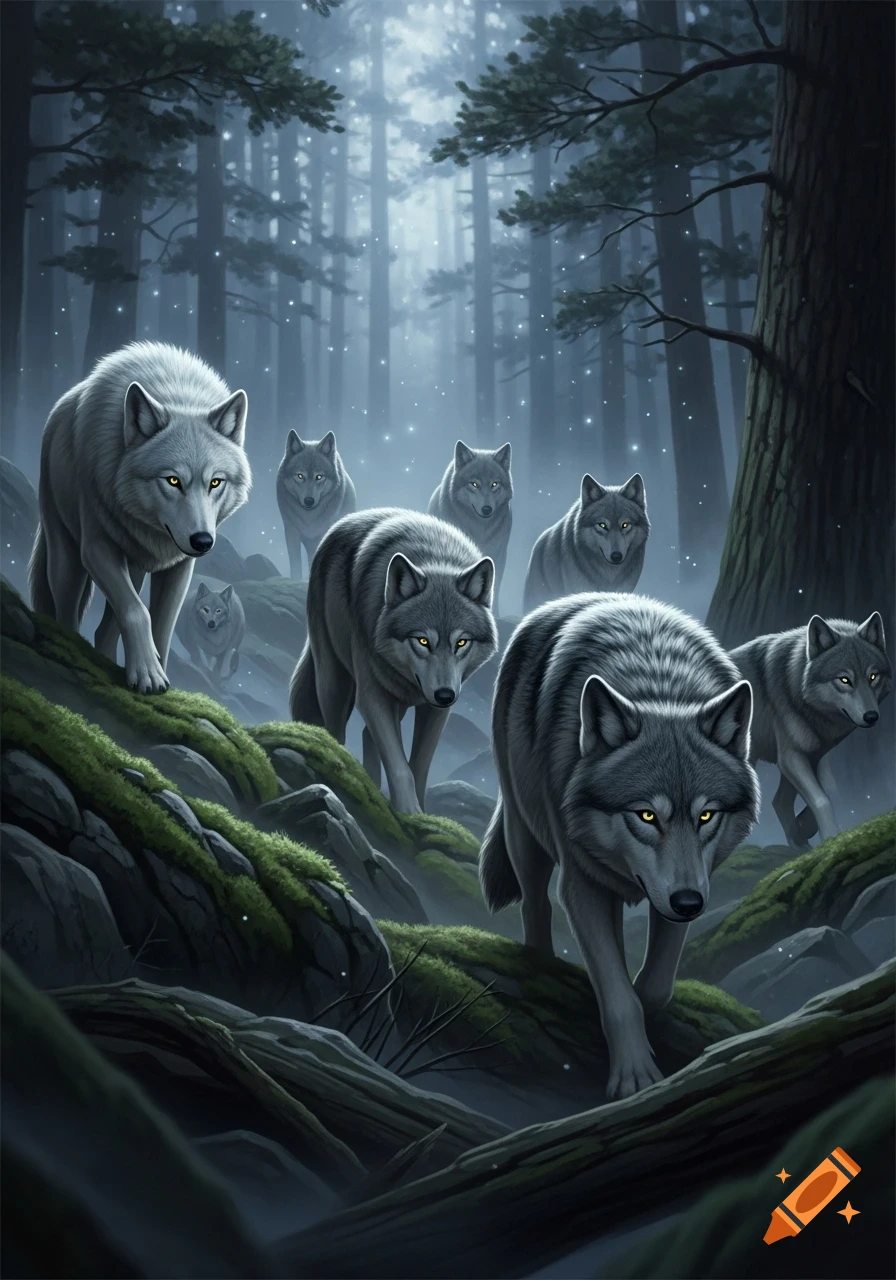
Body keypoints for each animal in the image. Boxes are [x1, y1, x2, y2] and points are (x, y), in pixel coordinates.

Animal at [29, 341, 251, 693]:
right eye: (173, 480)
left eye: (215, 482)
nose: (203, 541)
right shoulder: (96, 548)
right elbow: (137, 612)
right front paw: (148, 674)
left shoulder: (179, 567)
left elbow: (161, 627)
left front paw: (155, 671)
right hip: (67, 555)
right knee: (68, 610)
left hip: (133, 566)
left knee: (105, 628)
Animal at [277, 430, 356, 580]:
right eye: (300, 476)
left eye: (319, 477)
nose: (309, 501)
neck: (309, 517)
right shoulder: (291, 531)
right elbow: (295, 562)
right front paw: (296, 579)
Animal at [289, 508, 499, 813]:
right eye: (422, 641)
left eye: (461, 643)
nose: (445, 695)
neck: (434, 558)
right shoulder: (371, 695)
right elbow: (400, 766)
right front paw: (408, 810)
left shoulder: (436, 711)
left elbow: (419, 766)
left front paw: (420, 812)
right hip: (334, 680)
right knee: (335, 732)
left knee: (367, 734)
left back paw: (373, 786)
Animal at [480, 593, 759, 1099]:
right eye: (647, 816)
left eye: (706, 816)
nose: (689, 904)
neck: (659, 688)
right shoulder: (581, 885)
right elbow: (618, 997)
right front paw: (634, 1076)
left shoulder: (685, 886)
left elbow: (653, 986)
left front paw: (646, 1013)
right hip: (524, 832)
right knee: (534, 903)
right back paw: (539, 962)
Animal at [730, 613, 891, 847]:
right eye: (845, 680)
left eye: (873, 677)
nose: (871, 716)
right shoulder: (790, 756)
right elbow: (822, 799)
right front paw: (831, 837)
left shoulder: (816, 754)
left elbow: (830, 791)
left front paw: (803, 828)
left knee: (779, 802)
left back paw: (798, 843)